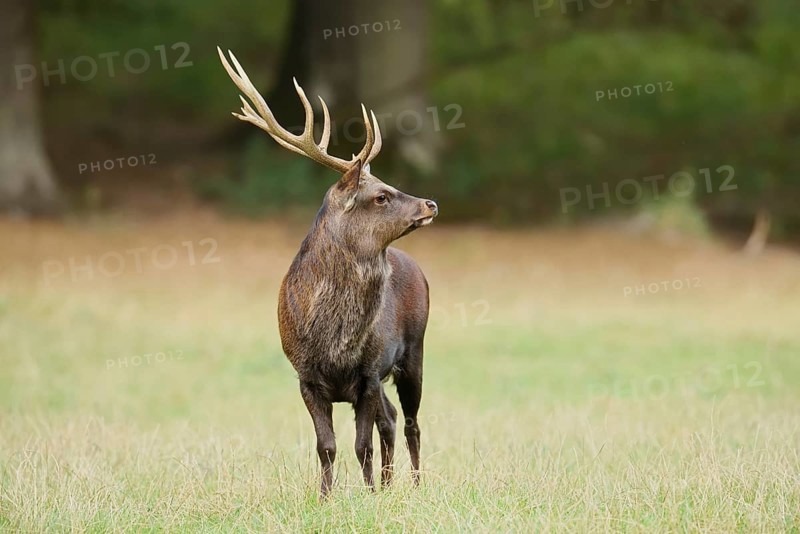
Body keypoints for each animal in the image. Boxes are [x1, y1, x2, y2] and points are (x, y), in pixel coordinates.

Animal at [218, 48, 438, 498]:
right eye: (381, 195)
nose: (430, 203)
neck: (334, 340)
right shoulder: (305, 378)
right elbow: (327, 446)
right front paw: (325, 497)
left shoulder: (368, 373)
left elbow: (361, 445)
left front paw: (368, 496)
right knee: (392, 419)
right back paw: (390, 484)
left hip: (415, 350)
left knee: (410, 422)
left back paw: (414, 485)